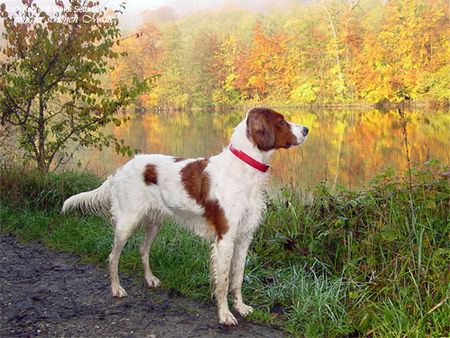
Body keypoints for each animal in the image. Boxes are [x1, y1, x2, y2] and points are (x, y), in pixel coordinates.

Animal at [61, 107, 310, 324]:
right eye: (281, 121)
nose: (306, 129)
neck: (243, 169)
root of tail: (121, 169)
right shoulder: (225, 238)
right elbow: (223, 282)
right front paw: (225, 315)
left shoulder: (244, 237)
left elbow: (237, 278)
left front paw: (240, 307)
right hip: (127, 222)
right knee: (113, 256)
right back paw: (116, 289)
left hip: (154, 222)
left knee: (143, 249)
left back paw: (150, 279)